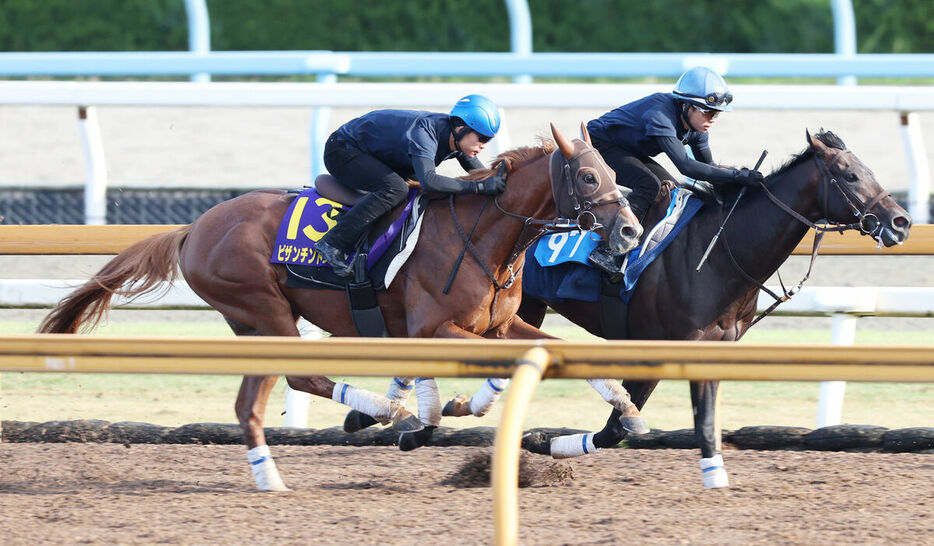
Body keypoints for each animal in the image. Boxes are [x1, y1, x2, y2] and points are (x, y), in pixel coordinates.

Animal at [40, 122, 648, 488]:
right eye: (588, 176)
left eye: (614, 174)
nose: (630, 231)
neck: (486, 234)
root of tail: (193, 227)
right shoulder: (432, 330)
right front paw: (428, 414)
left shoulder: (499, 326)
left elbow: (551, 350)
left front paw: (626, 406)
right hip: (266, 309)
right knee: (302, 377)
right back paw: (381, 411)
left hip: (253, 325)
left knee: (249, 404)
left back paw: (271, 477)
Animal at [516, 130, 912, 486]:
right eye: (850, 175)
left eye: (868, 170)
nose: (902, 222)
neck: (717, 253)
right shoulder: (652, 350)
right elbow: (617, 426)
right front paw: (542, 441)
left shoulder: (713, 347)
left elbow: (703, 423)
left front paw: (715, 476)